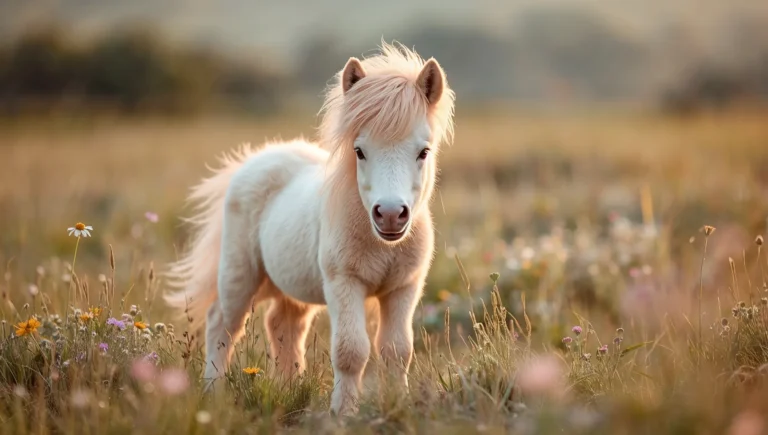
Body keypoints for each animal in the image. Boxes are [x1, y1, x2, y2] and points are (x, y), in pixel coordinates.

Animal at [164, 42, 455, 415]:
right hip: (239, 274)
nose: (390, 215)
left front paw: (397, 405)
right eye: (359, 151)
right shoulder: (344, 283)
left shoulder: (404, 287)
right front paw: (343, 413)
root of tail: (253, 160)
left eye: (423, 151)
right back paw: (213, 394)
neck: (377, 240)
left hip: (290, 287)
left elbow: (397, 350)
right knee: (222, 324)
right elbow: (350, 351)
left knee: (283, 325)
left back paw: (289, 388)